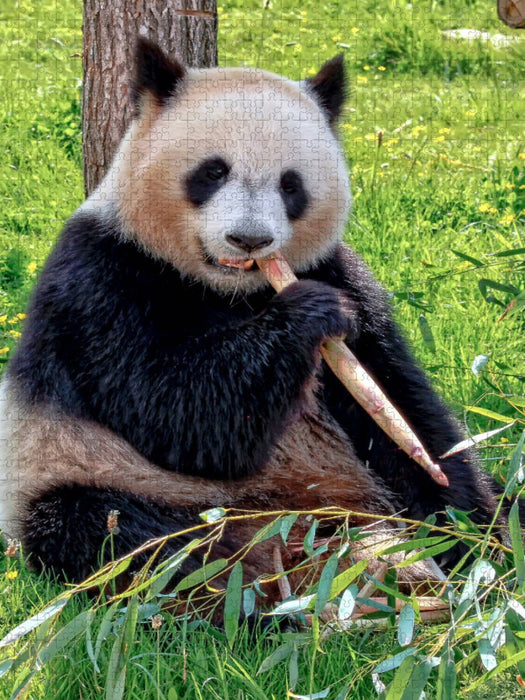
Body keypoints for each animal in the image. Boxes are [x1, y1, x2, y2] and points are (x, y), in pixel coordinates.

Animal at [0, 39, 503, 592]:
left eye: (291, 185)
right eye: (213, 171)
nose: (249, 239)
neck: (230, 291)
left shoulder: (339, 272)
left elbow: (401, 410)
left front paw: (471, 533)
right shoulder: (102, 278)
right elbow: (179, 412)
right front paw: (308, 313)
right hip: (88, 475)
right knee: (118, 535)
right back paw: (252, 583)